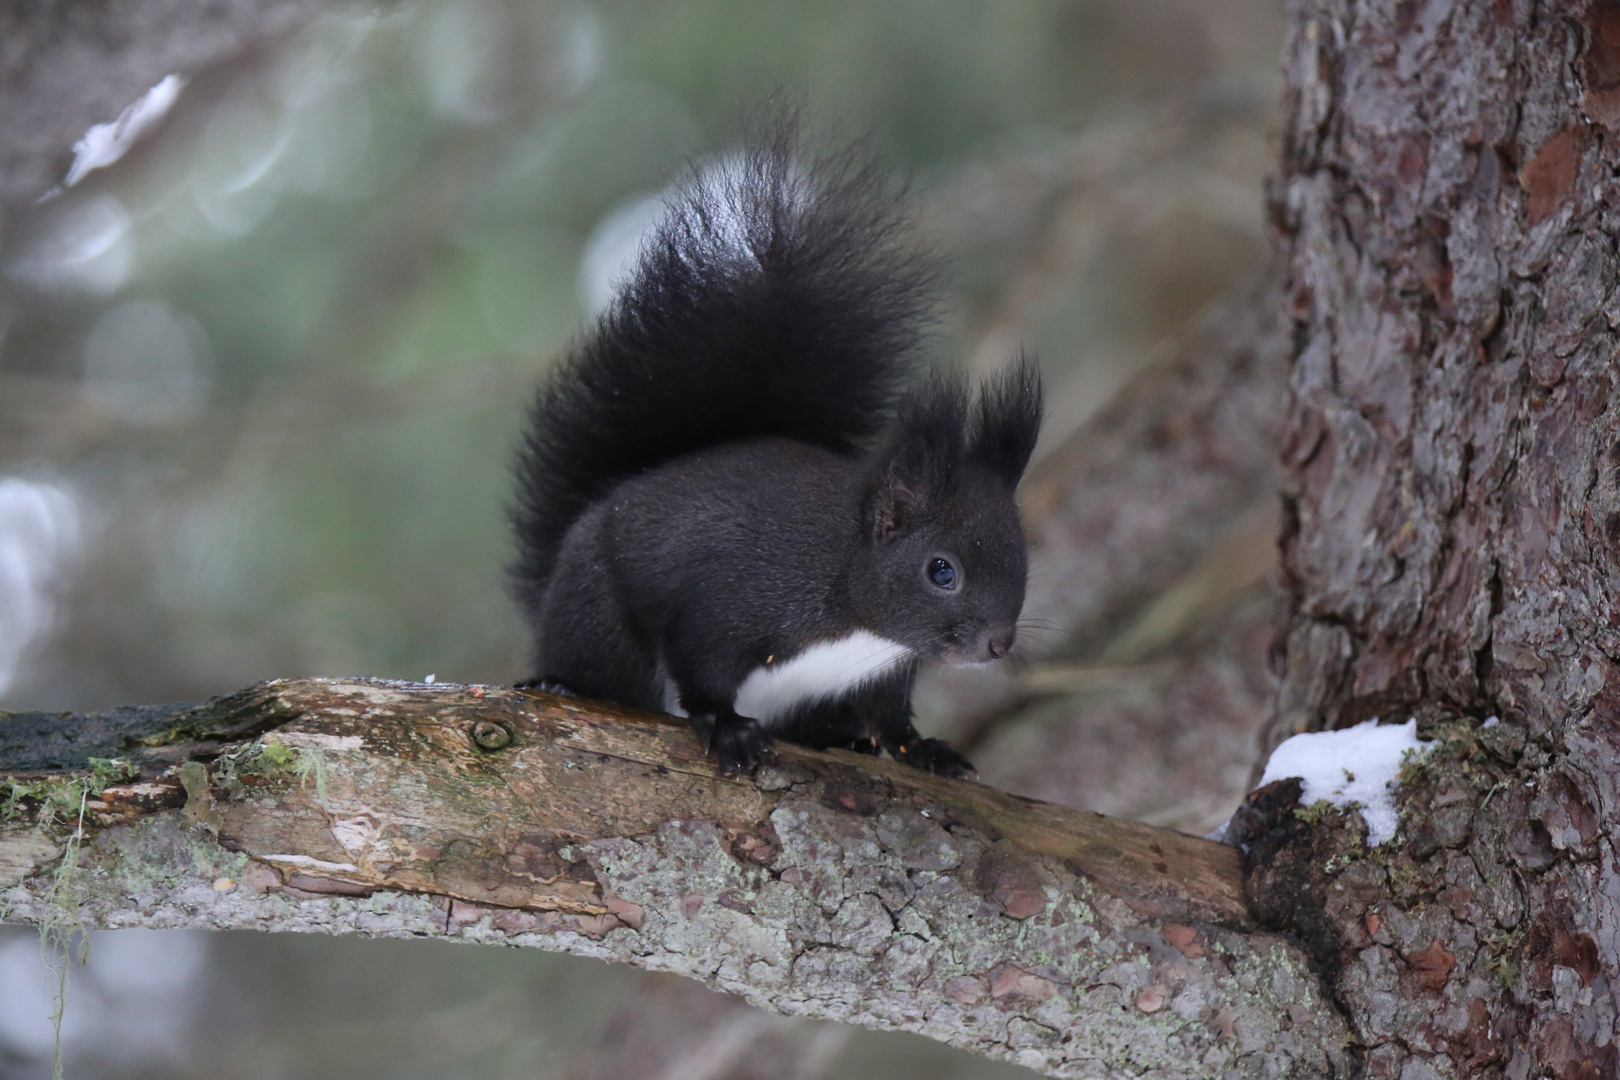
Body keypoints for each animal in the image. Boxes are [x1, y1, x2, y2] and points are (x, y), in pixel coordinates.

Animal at [508, 128, 1036, 777]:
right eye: (942, 570)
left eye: (1022, 552)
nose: (998, 644)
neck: (853, 602)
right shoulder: (728, 601)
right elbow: (704, 670)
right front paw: (726, 726)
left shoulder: (886, 670)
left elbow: (889, 714)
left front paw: (921, 748)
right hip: (597, 613)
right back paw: (560, 684)